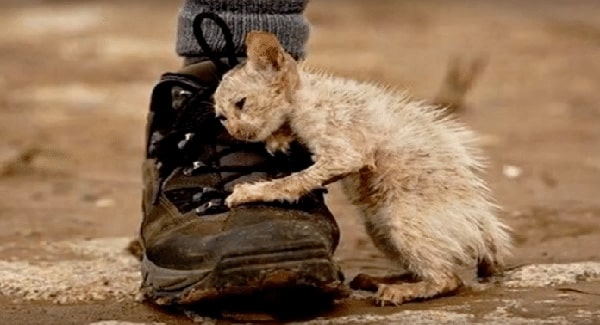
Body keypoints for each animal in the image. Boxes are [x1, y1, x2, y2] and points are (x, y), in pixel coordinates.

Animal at [212, 30, 510, 304]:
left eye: (242, 103)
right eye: (222, 117)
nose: (234, 131)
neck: (306, 96)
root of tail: (486, 230)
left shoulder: (345, 153)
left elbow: (295, 181)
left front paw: (249, 192)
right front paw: (279, 139)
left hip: (401, 220)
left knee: (448, 279)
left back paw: (399, 291)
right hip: (379, 229)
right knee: (429, 269)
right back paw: (377, 279)